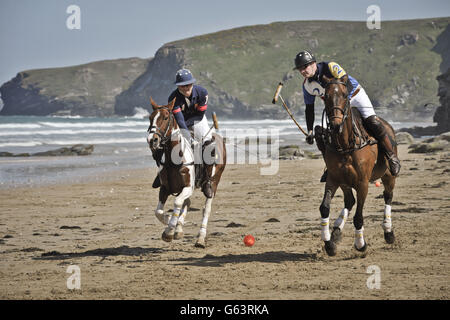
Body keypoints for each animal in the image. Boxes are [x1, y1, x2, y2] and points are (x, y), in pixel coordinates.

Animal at [147, 97, 227, 248]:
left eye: (165, 117)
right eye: (150, 118)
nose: (152, 140)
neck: (174, 159)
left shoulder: (188, 187)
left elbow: (177, 202)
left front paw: (169, 231)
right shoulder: (165, 188)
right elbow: (158, 211)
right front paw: (170, 222)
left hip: (215, 181)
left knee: (206, 208)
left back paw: (200, 238)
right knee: (187, 203)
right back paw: (179, 228)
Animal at [312, 74, 398, 255]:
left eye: (345, 95)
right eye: (326, 96)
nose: (336, 124)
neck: (345, 144)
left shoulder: (362, 183)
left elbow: (358, 217)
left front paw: (361, 245)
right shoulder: (333, 179)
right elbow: (324, 208)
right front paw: (329, 244)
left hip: (388, 175)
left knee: (388, 196)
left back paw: (388, 232)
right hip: (345, 182)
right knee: (349, 201)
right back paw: (336, 232)